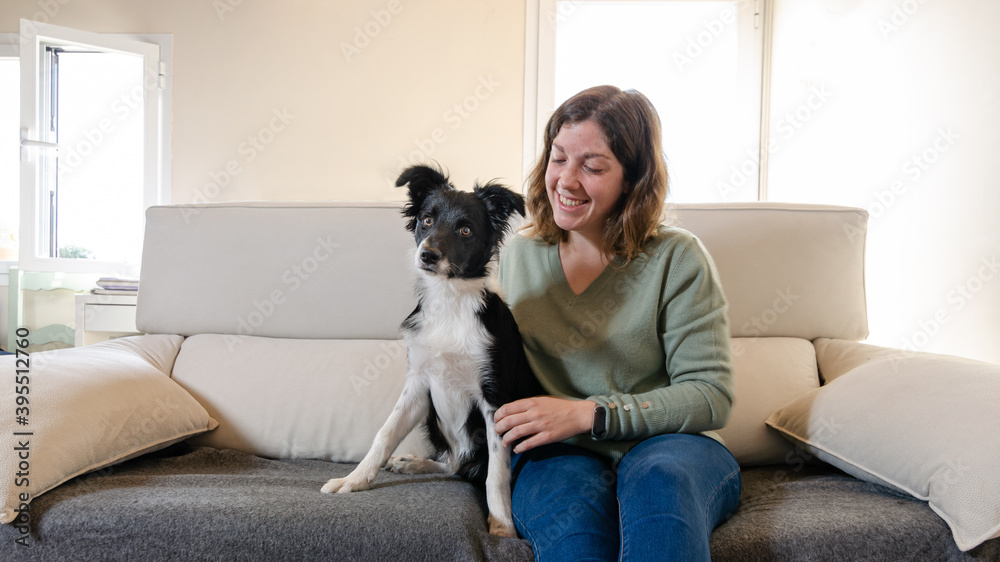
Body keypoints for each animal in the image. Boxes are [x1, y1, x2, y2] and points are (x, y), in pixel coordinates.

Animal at [322, 165, 544, 532]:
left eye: (465, 229)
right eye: (427, 220)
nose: (427, 254)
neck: (449, 300)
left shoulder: (494, 397)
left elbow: (496, 473)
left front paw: (500, 524)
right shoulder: (419, 383)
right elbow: (385, 433)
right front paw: (354, 479)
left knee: (471, 466)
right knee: (455, 463)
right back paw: (415, 463)